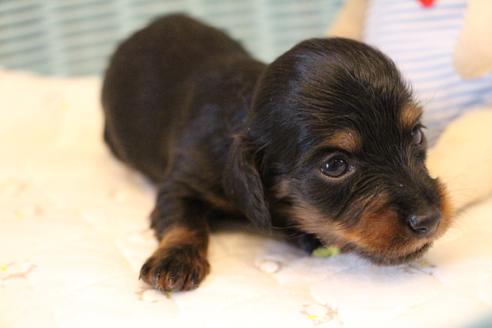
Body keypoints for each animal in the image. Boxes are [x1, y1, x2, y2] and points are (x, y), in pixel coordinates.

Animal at [102, 14, 452, 292]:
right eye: (335, 165)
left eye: (417, 134)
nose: (430, 219)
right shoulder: (183, 180)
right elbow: (183, 218)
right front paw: (175, 260)